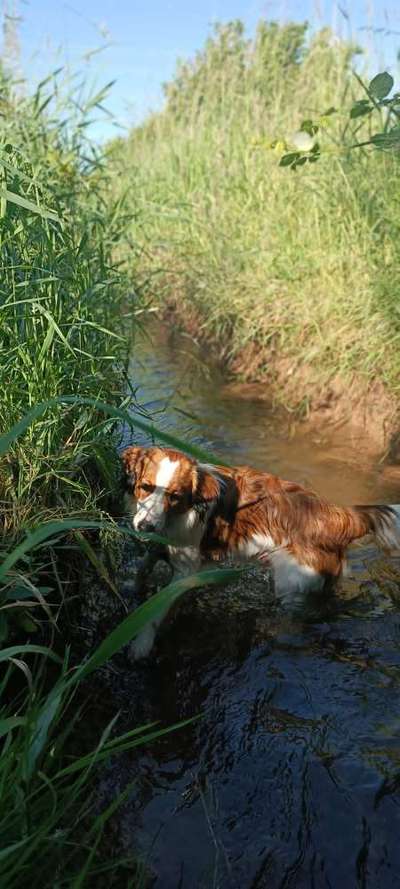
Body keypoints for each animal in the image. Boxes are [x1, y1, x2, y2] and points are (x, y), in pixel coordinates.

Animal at [122, 444, 400, 660]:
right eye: (146, 487)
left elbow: (155, 611)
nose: (145, 526)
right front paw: (132, 588)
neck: (183, 512)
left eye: (175, 497)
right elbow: (143, 568)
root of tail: (337, 516)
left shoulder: (184, 572)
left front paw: (141, 643)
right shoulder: (164, 548)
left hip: (292, 584)